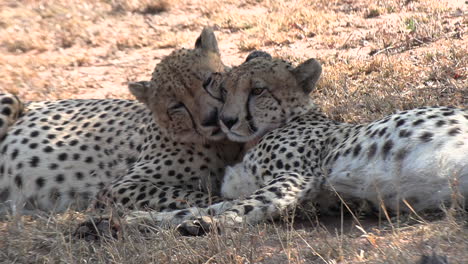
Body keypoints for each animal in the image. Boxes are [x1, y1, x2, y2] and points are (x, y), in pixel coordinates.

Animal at [0, 27, 243, 216]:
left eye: (208, 81)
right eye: (176, 106)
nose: (211, 119)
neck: (222, 145)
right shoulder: (117, 188)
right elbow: (189, 194)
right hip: (9, 100)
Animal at [122, 53, 466, 235]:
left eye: (257, 90)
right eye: (224, 90)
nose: (227, 120)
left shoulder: (299, 176)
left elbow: (239, 206)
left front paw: (211, 223)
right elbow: (204, 205)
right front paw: (136, 220)